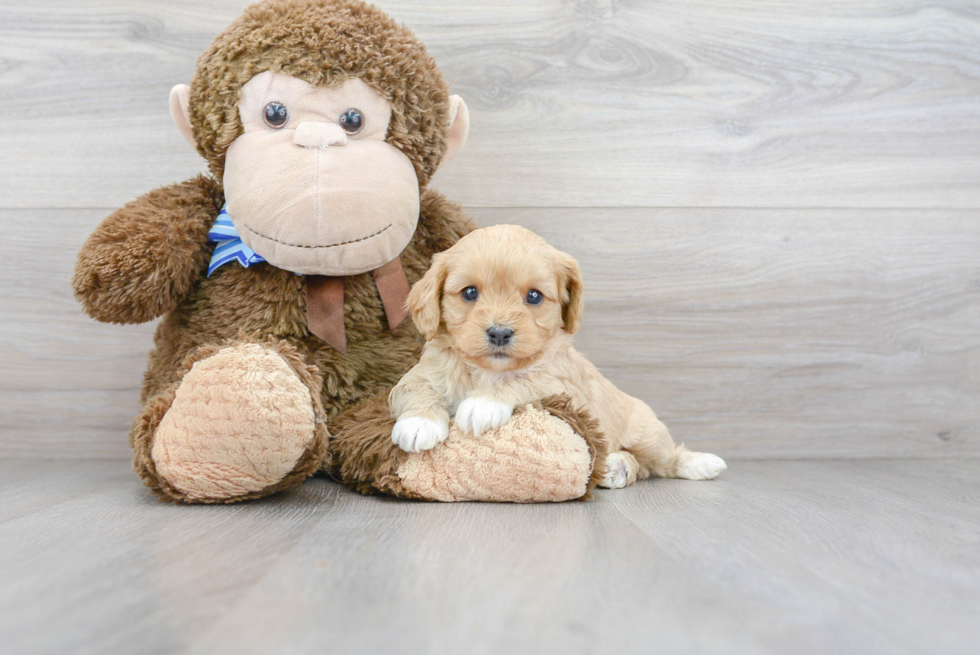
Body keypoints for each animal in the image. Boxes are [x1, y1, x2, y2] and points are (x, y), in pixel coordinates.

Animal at [386, 226, 724, 486]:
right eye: (469, 293)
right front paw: (419, 423)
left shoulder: (561, 385)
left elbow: (524, 379)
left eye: (534, 296)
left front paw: (483, 404)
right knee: (641, 467)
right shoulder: (418, 375)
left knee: (665, 460)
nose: (499, 333)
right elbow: (415, 388)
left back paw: (701, 463)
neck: (488, 370)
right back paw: (616, 466)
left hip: (648, 433)